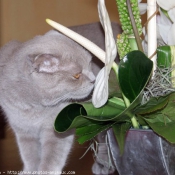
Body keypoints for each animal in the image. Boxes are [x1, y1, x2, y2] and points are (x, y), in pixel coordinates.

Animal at [0, 22, 121, 174]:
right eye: (76, 75)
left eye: (89, 64)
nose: (94, 79)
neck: (33, 107)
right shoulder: (23, 129)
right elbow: (29, 155)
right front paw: (29, 171)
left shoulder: (57, 127)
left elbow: (51, 158)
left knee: (105, 139)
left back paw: (104, 165)